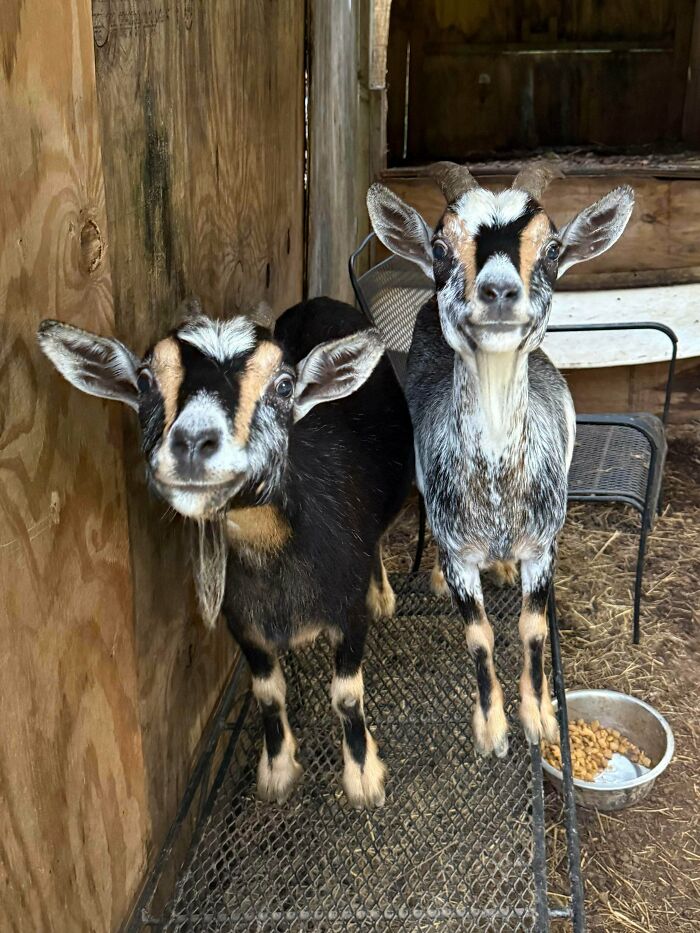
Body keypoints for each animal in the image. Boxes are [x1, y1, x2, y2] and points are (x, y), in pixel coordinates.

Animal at [37, 297, 414, 807]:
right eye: (144, 380)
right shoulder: (242, 622)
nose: (194, 443)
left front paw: (363, 776)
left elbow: (347, 694)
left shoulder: (348, 613)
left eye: (284, 385)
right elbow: (268, 693)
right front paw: (277, 769)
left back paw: (383, 595)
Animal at [367, 163, 634, 756]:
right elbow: (479, 635)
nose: (499, 291)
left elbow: (532, 630)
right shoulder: (460, 553)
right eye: (440, 246)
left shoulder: (544, 547)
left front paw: (537, 717)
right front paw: (491, 728)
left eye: (553, 248)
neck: (496, 494)